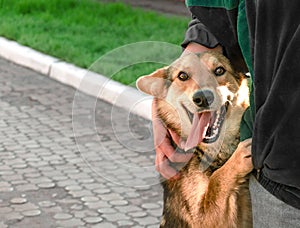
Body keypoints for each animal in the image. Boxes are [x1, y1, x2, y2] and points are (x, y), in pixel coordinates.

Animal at [137, 52, 252, 228]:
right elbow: (217, 179)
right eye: (183, 76)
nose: (203, 98)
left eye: (219, 70)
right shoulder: (202, 217)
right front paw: (239, 158)